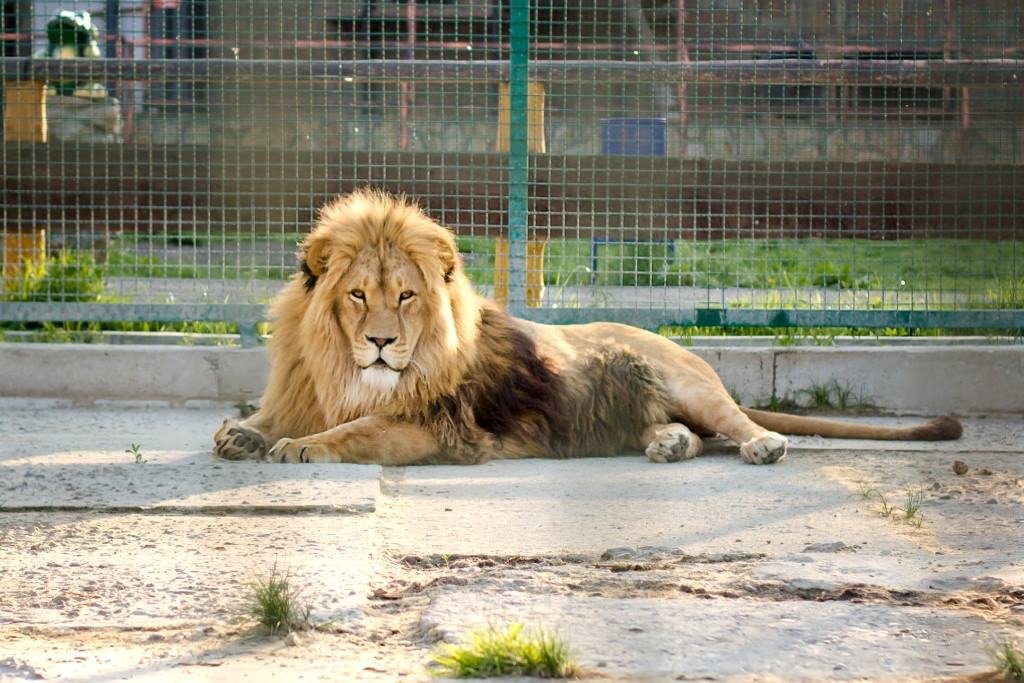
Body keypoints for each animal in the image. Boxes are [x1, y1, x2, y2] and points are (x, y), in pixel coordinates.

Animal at [214, 188, 962, 466]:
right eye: (357, 295)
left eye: (405, 297)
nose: (379, 342)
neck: (342, 366)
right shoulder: (308, 388)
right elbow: (278, 415)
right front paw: (244, 432)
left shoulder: (439, 429)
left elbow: (357, 430)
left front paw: (300, 447)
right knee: (685, 433)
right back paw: (668, 445)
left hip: (688, 383)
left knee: (735, 423)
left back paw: (762, 445)